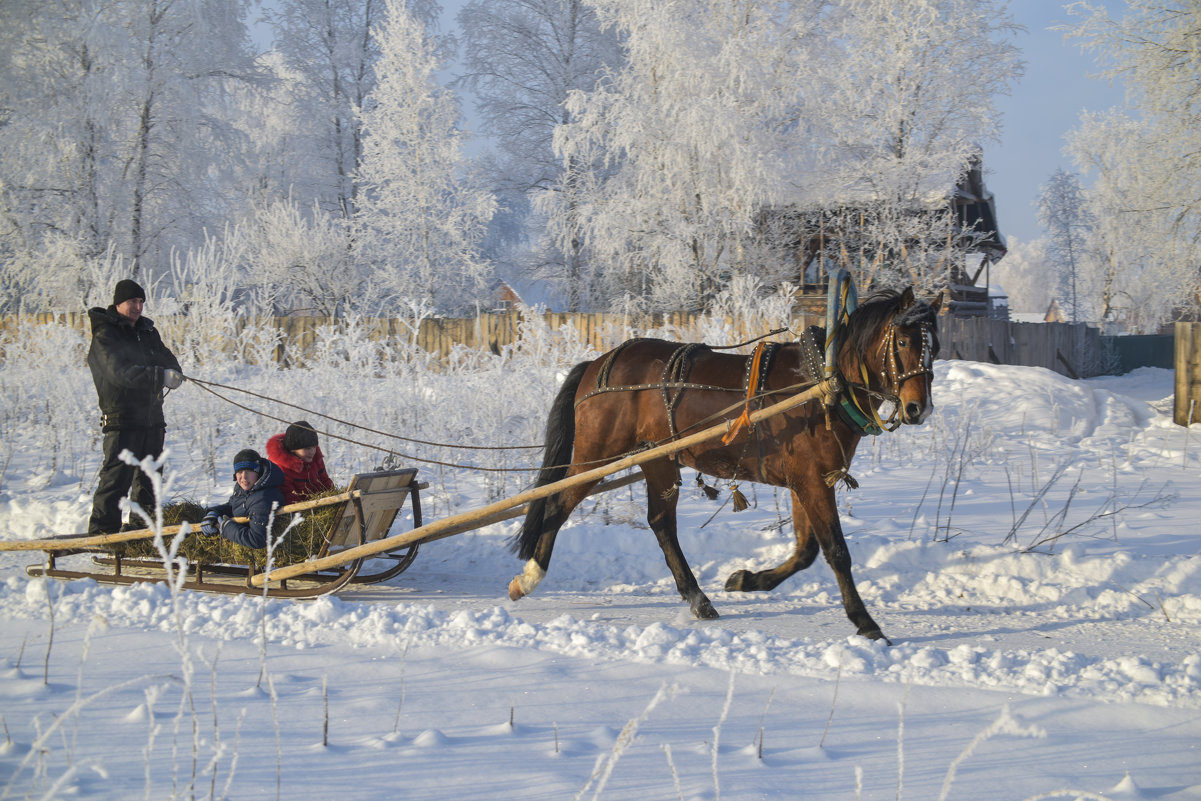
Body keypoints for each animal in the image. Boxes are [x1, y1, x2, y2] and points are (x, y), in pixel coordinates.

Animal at [504, 284, 936, 643]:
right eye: (902, 340)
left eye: (933, 346)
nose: (919, 408)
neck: (823, 385)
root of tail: (598, 362)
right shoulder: (812, 481)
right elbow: (836, 552)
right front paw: (866, 622)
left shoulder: (807, 481)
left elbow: (805, 551)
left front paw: (747, 580)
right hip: (597, 454)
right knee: (558, 504)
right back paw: (528, 578)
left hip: (658, 461)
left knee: (661, 524)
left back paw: (698, 597)